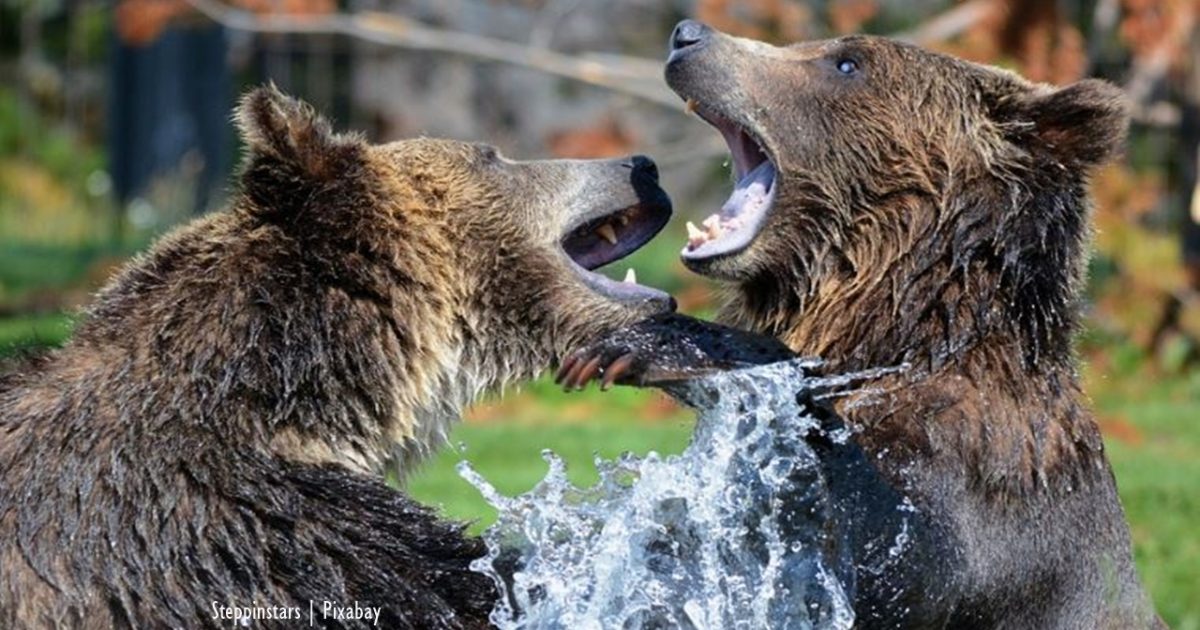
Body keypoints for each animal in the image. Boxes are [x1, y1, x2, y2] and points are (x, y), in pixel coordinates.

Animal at [564, 19, 1171, 628]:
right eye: (813, 46)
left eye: (847, 63)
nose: (689, 36)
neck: (898, 331)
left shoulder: (984, 484)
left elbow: (897, 544)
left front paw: (650, 345)